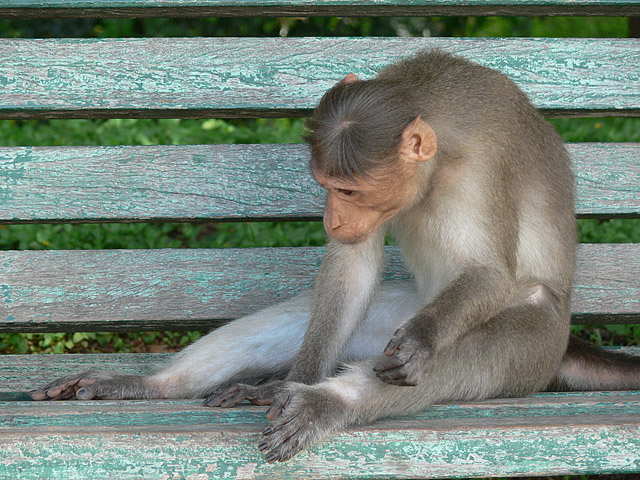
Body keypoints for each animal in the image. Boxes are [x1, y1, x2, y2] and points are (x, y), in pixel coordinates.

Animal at [31, 49, 640, 463]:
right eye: (325, 186)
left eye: (346, 190)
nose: (331, 219)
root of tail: (564, 342)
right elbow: (351, 269)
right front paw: (277, 386)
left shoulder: (476, 174)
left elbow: (488, 276)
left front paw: (420, 342)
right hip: (401, 311)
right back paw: (163, 385)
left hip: (530, 348)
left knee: (472, 339)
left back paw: (328, 403)